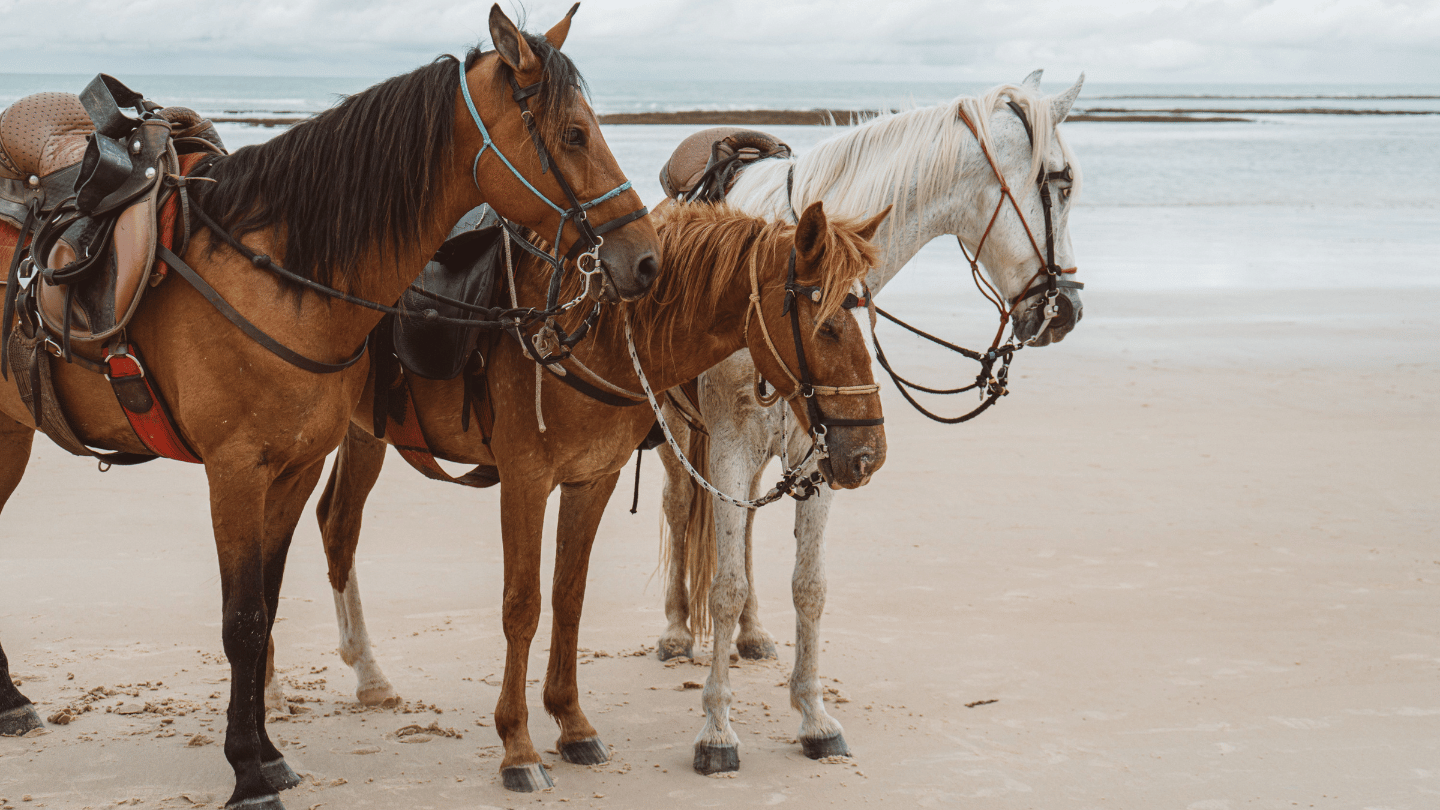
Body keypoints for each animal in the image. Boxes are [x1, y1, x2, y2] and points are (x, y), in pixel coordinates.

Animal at [0, 6, 659, 810]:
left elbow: (264, 606)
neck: (278, 274)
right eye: (572, 134)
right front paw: (249, 771)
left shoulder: (295, 465)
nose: (645, 259)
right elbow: (243, 619)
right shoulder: (235, 471)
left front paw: (265, 753)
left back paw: (11, 702)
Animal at [266, 199, 889, 791]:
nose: (869, 454)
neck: (588, 331)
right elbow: (522, 606)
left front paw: (571, 725)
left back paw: (368, 675)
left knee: (337, 526)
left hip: (362, 431)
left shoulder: (593, 480)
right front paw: (517, 747)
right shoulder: (525, 481)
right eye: (826, 325)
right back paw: (270, 694)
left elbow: (569, 596)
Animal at [653, 71, 1089, 773]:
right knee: (675, 506)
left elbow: (808, 585)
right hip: (677, 433)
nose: (1068, 310)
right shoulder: (729, 446)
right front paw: (716, 730)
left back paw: (753, 635)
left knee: (744, 531)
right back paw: (672, 631)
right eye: (1063, 180)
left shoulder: (822, 453)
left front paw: (813, 717)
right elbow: (722, 585)